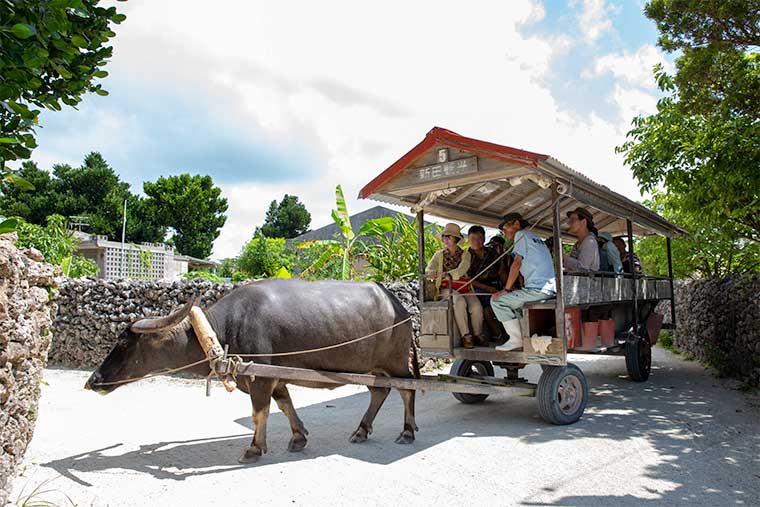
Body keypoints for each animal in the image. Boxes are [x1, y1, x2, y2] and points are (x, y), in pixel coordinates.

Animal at [89, 280, 422, 462]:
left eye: (123, 341)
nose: (93, 380)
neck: (222, 330)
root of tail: (400, 308)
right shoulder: (273, 376)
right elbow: (284, 404)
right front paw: (298, 437)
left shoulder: (259, 378)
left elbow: (259, 412)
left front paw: (253, 448)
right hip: (374, 367)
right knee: (379, 391)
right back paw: (361, 430)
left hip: (395, 363)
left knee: (407, 390)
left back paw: (407, 432)